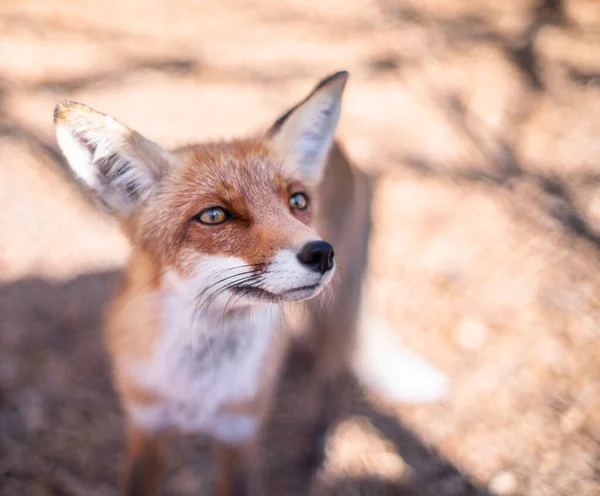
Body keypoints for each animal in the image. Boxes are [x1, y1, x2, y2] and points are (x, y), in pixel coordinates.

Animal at [51, 71, 358, 494]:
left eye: (297, 202)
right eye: (214, 215)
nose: (322, 254)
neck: (197, 389)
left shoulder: (238, 431)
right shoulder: (146, 424)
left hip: (335, 315)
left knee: (333, 374)